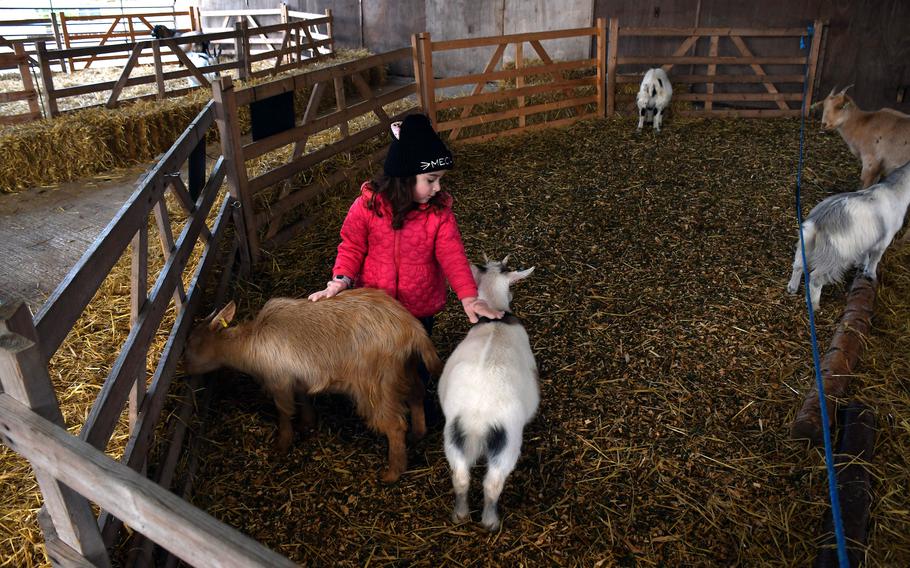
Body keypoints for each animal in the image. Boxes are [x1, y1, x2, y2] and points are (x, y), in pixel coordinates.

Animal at [183, 288, 440, 484]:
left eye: (192, 343)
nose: (184, 369)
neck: (251, 342)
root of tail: (411, 329)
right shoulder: (298, 379)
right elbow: (304, 399)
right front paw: (307, 423)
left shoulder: (279, 381)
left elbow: (284, 412)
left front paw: (282, 444)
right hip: (406, 370)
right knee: (417, 394)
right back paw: (418, 433)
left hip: (376, 384)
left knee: (395, 425)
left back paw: (392, 473)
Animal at [438, 258, 536, 532]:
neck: (496, 318)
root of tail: (478, 419)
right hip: (507, 445)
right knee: (492, 483)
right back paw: (491, 521)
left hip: (453, 438)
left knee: (461, 477)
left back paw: (461, 514)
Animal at [788, 160, 910, 310]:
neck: (894, 190)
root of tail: (818, 221)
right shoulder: (883, 241)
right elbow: (875, 259)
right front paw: (870, 274)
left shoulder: (865, 239)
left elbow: (864, 253)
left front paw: (861, 265)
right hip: (833, 259)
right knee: (815, 280)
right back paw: (815, 306)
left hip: (805, 244)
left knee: (798, 265)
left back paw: (792, 288)